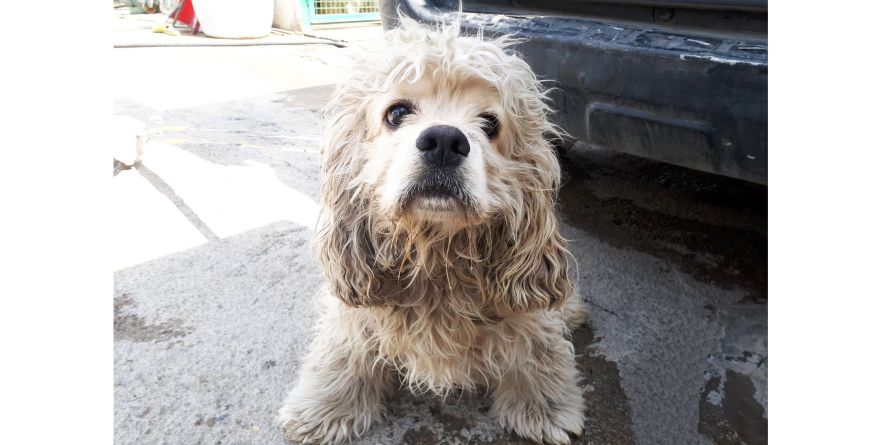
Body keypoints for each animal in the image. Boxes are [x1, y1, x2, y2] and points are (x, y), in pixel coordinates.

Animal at [278, 18, 588, 444]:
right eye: (397, 113)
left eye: (490, 124)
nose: (444, 140)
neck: (436, 254)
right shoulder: (356, 312)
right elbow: (343, 350)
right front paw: (324, 407)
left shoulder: (525, 314)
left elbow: (535, 347)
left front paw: (543, 407)